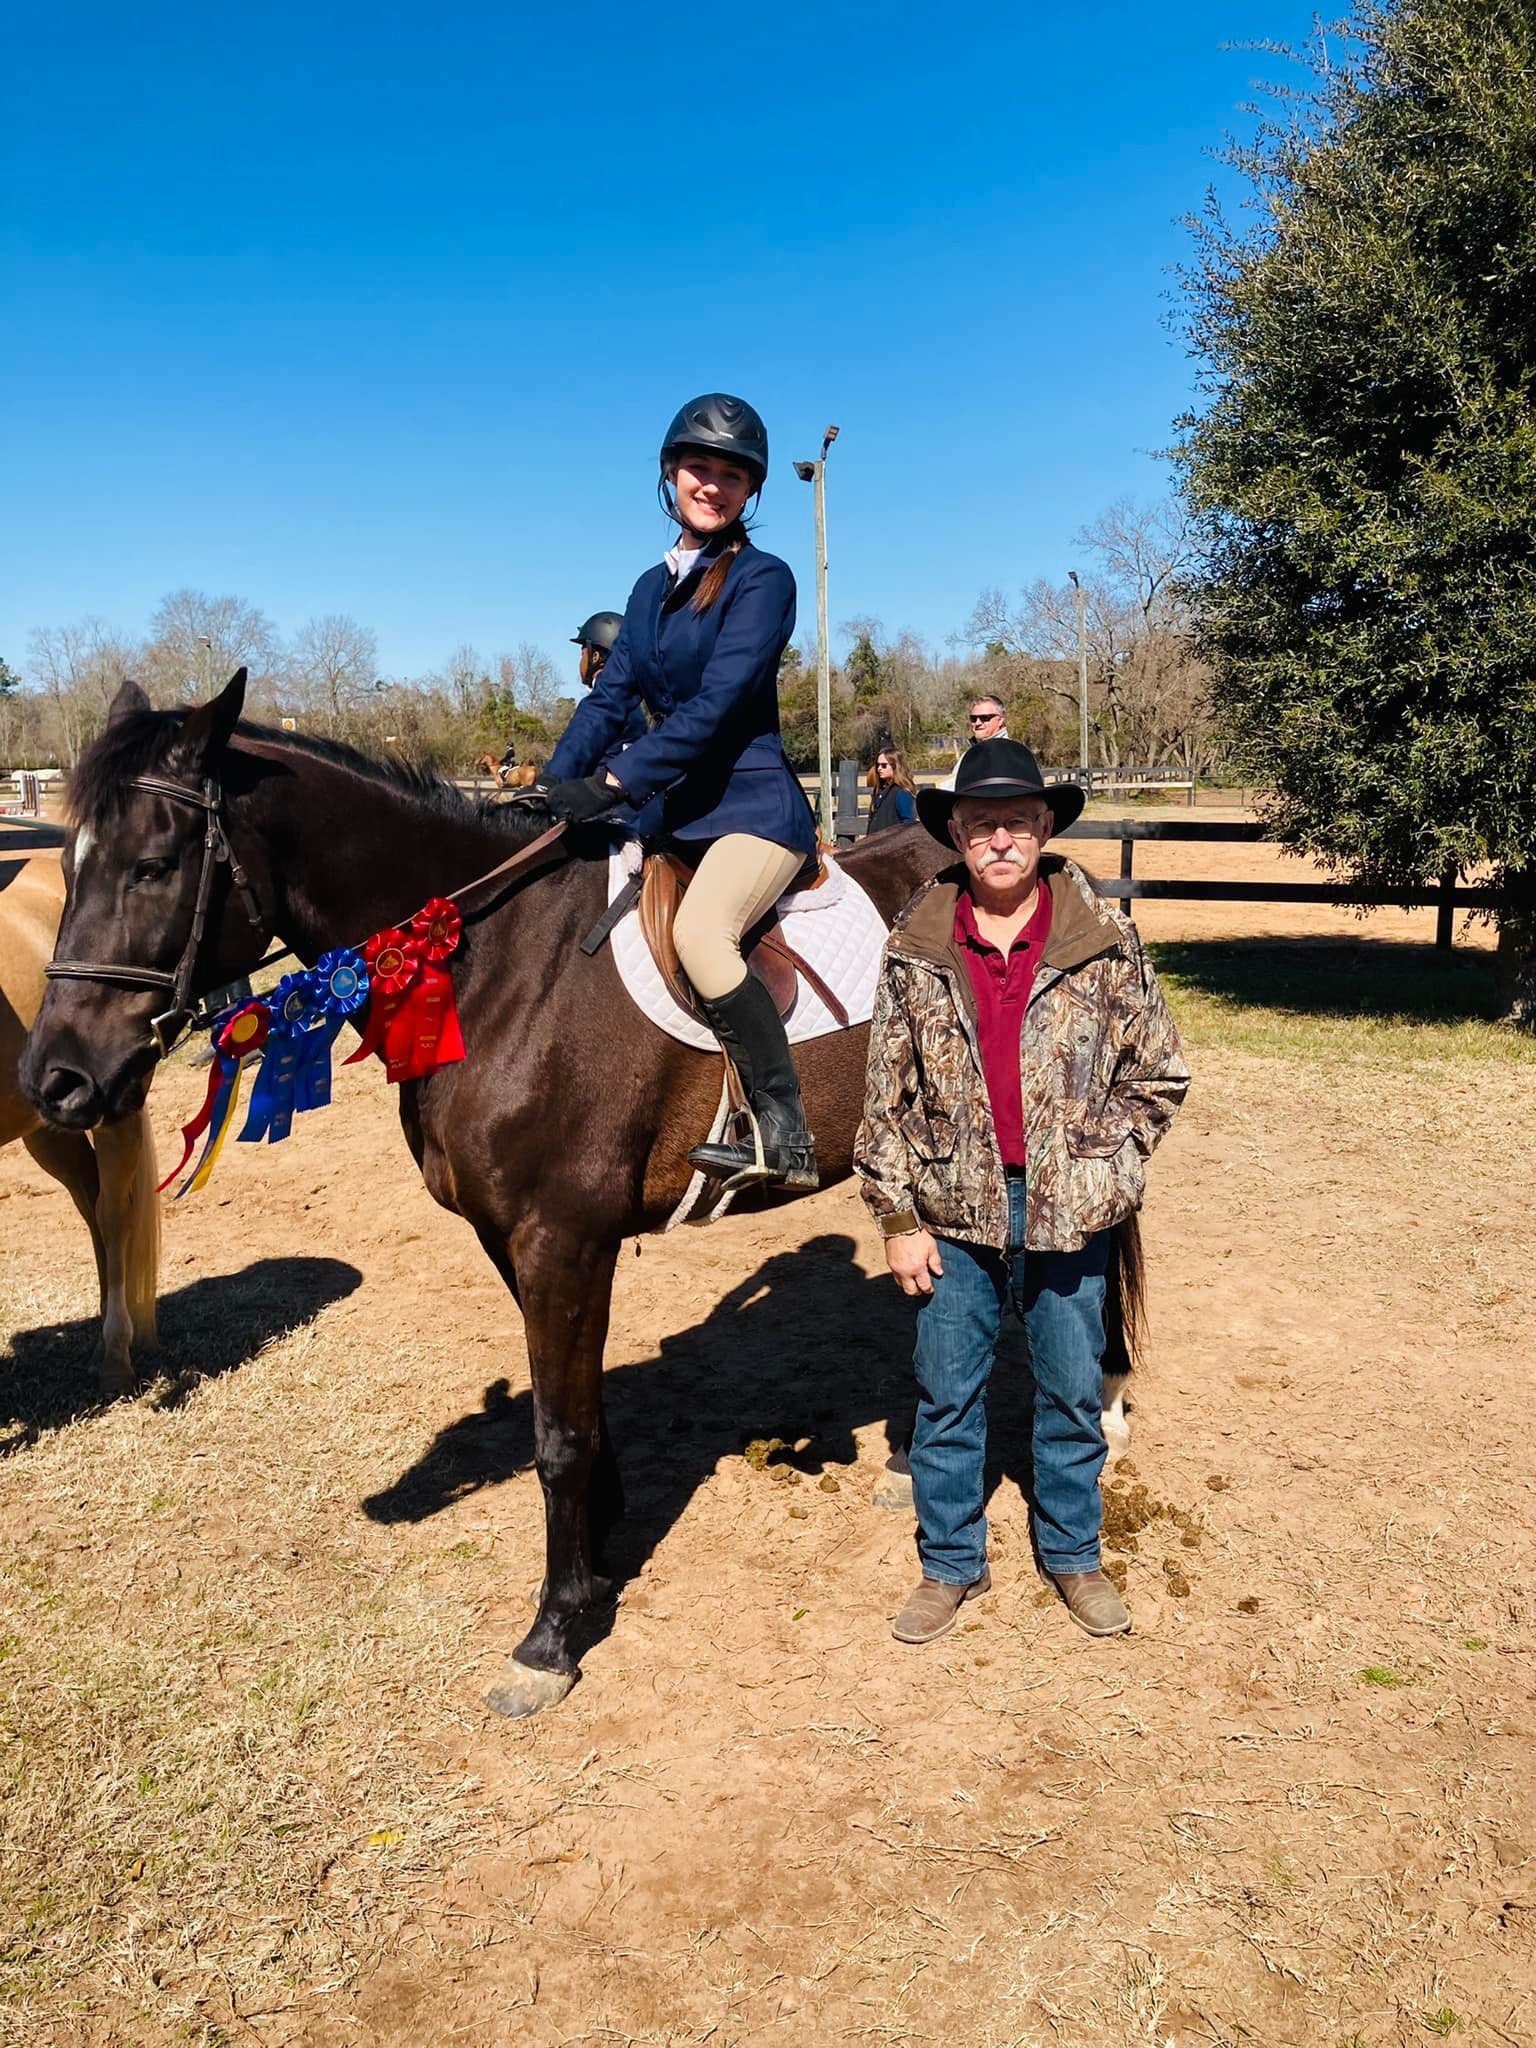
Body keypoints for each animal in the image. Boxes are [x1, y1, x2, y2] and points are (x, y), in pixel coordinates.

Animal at [21, 670, 1141, 1717]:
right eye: (66, 864)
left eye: (154, 865)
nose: (55, 1080)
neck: (495, 963)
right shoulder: (514, 1238)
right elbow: (584, 1412)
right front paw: (599, 1565)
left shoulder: (562, 1236)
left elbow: (556, 1438)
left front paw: (551, 1637)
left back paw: (1107, 1406)